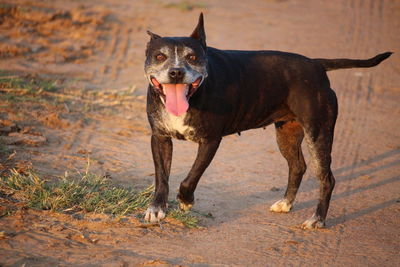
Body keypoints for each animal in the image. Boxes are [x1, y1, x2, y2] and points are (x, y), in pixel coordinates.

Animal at [143, 13, 390, 229]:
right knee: (298, 166)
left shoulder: (210, 141)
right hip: (287, 134)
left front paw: (185, 200)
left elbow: (191, 176)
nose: (176, 73)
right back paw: (286, 203)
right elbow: (161, 176)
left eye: (192, 57)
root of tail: (316, 64)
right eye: (159, 57)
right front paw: (157, 208)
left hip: (318, 133)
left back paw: (317, 220)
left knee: (327, 177)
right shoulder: (160, 139)